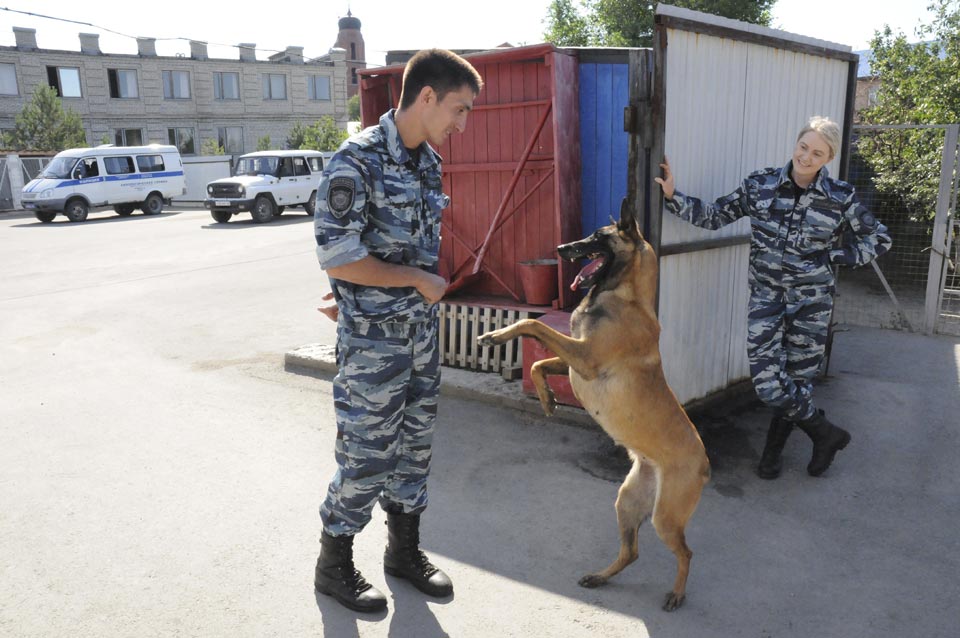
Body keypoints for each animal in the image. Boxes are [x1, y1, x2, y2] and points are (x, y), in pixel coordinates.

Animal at [476, 212, 708, 612]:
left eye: (598, 237)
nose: (560, 248)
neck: (625, 296)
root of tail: (706, 463)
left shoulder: (585, 358)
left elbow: (532, 323)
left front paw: (497, 335)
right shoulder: (577, 360)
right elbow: (538, 364)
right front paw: (547, 398)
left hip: (665, 517)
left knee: (687, 553)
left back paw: (677, 593)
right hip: (627, 501)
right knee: (631, 552)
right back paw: (600, 576)